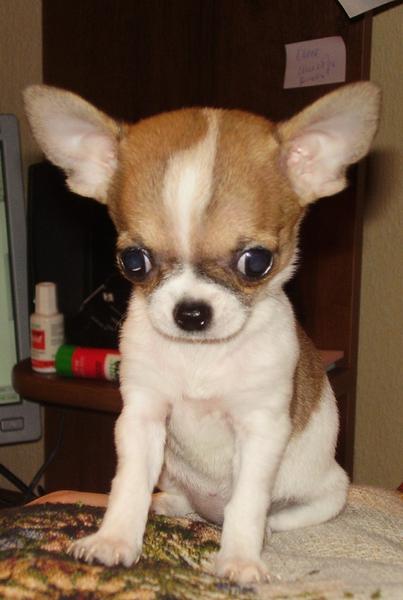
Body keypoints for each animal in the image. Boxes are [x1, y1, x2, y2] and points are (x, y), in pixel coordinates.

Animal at [25, 81, 380, 584]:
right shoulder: (142, 418)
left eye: (256, 262)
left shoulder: (260, 428)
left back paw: (257, 531)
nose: (191, 313)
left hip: (329, 493)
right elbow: (127, 484)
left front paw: (239, 559)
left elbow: (247, 501)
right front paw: (115, 538)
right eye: (133, 261)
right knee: (173, 495)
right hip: (172, 472)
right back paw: (169, 506)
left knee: (270, 513)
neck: (201, 357)